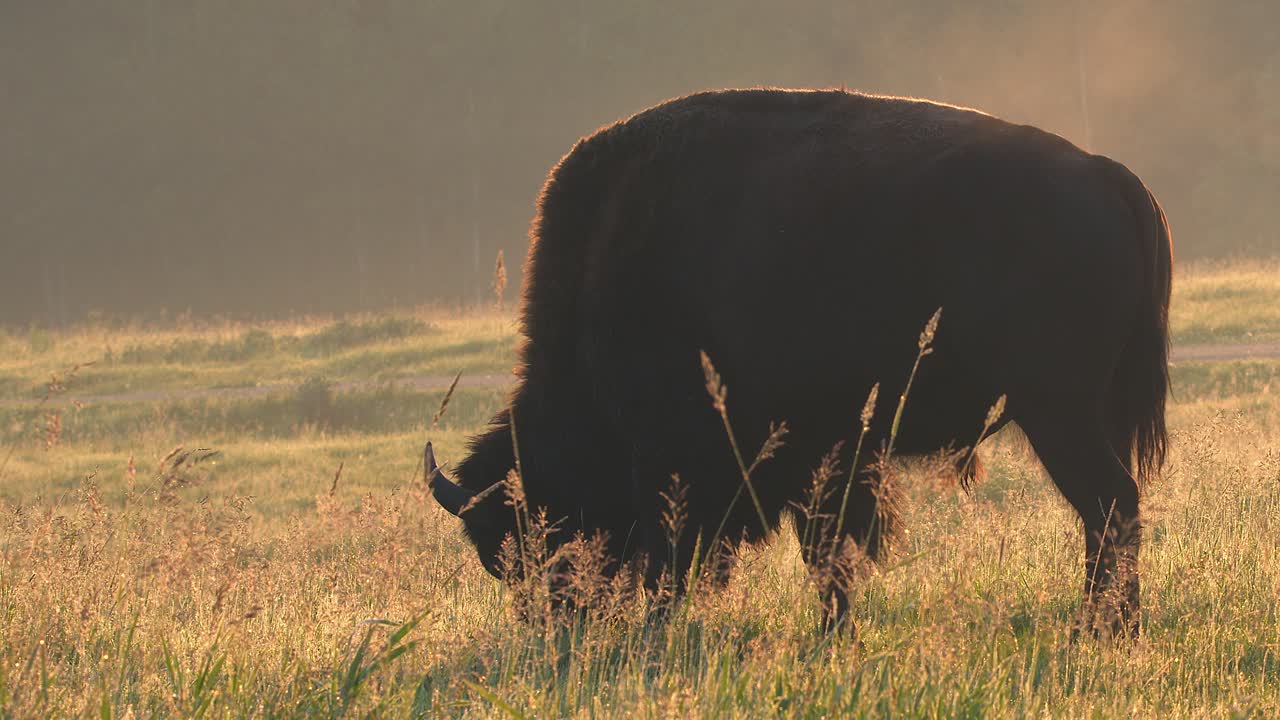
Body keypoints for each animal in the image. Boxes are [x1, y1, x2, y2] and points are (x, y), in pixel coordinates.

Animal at [427, 88, 1172, 637]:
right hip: (1081, 412)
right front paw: (833, 632)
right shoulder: (826, 455)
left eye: (534, 537)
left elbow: (680, 557)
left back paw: (1099, 630)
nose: (556, 628)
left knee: (1110, 504)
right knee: (1112, 511)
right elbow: (827, 556)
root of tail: (1106, 172)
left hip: (1057, 412)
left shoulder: (680, 456)